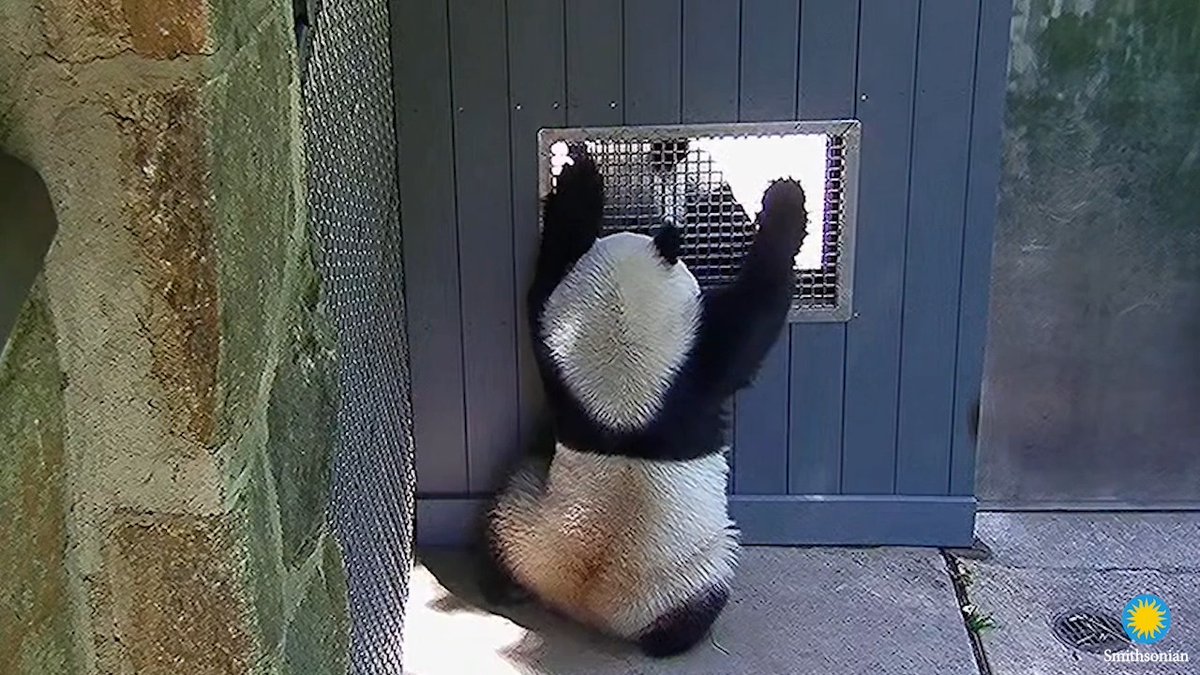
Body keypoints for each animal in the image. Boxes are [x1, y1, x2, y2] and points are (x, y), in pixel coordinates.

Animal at [478, 142, 808, 658]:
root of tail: (580, 603)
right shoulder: (699, 368)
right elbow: (758, 312)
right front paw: (785, 202)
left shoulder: (558, 360)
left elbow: (544, 283)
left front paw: (575, 181)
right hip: (685, 573)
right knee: (701, 597)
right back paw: (679, 639)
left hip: (527, 520)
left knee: (500, 519)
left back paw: (501, 586)